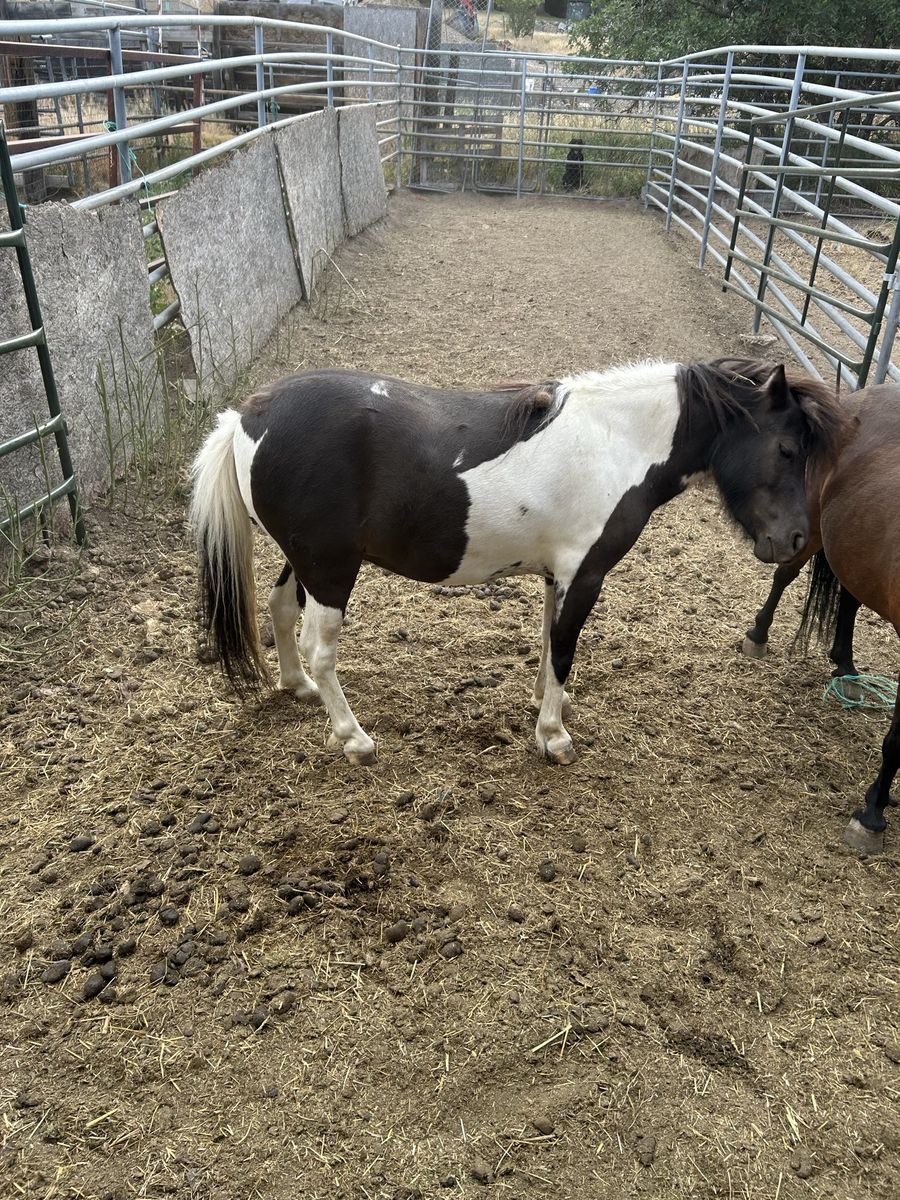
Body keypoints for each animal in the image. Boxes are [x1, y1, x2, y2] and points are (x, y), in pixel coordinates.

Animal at [189, 358, 841, 767]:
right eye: (787, 448)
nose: (795, 540)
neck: (616, 442)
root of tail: (248, 416)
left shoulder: (561, 573)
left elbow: (550, 641)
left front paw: (547, 704)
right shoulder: (587, 574)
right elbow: (565, 649)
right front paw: (553, 737)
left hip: (308, 561)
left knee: (279, 611)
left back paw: (295, 687)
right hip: (331, 568)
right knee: (320, 649)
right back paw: (354, 739)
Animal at [741, 382, 900, 853]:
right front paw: (872, 813)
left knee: (850, 595)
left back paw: (845, 667)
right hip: (806, 525)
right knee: (786, 574)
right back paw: (758, 634)